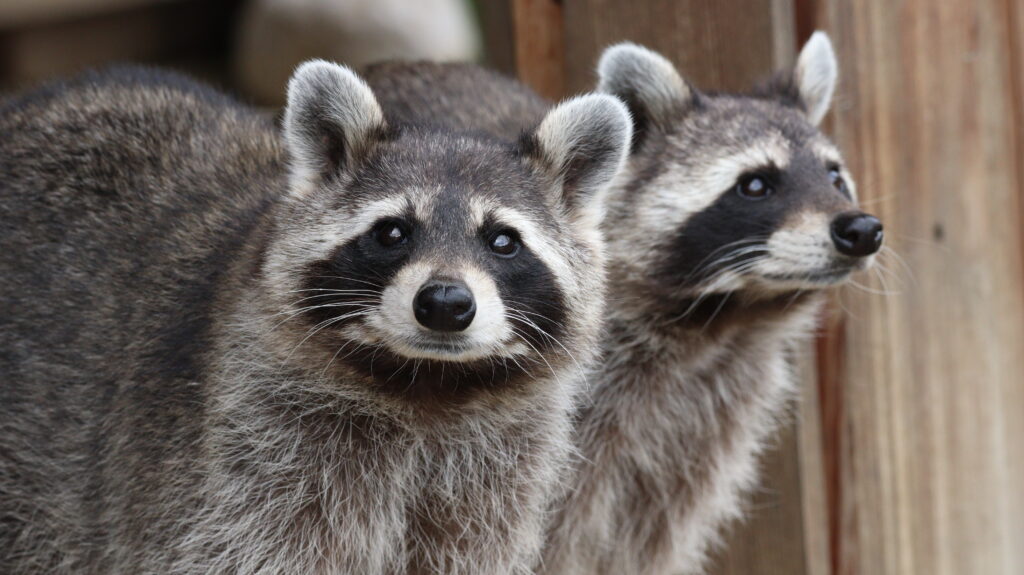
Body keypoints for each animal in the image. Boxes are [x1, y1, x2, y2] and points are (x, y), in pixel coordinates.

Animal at [0, 61, 631, 574]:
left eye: (502, 241)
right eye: (392, 232)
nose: (445, 304)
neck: (426, 387)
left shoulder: (489, 483)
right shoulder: (245, 464)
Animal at [539, 33, 884, 574]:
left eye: (834, 177)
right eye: (756, 184)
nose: (863, 230)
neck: (725, 324)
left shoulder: (706, 431)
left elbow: (652, 541)